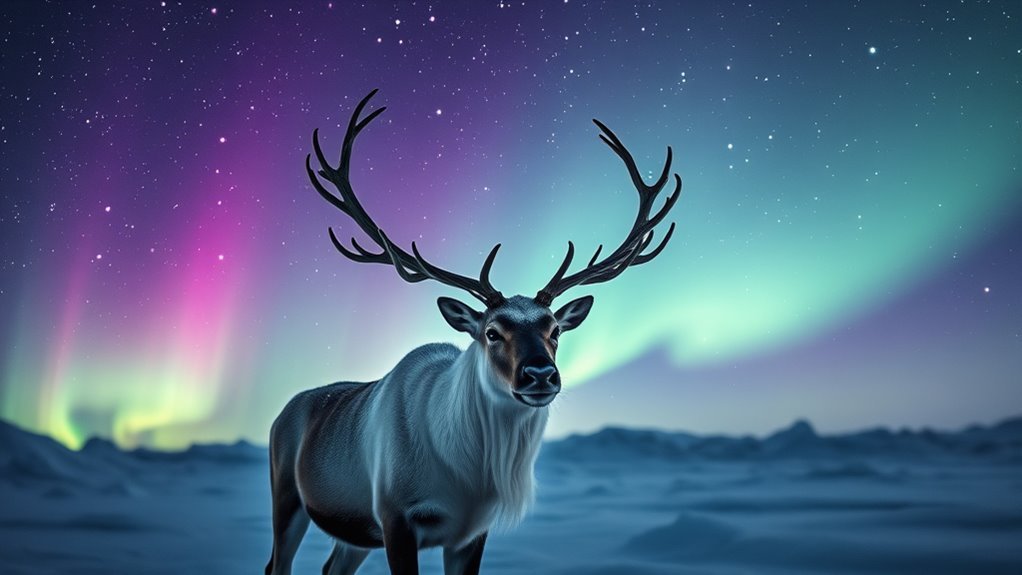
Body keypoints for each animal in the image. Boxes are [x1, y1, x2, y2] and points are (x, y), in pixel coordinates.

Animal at [266, 89, 681, 575]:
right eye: (492, 332)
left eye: (556, 330)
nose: (540, 375)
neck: (467, 478)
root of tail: (283, 412)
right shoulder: (396, 516)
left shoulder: (472, 531)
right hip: (288, 497)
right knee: (276, 564)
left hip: (354, 533)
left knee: (332, 567)